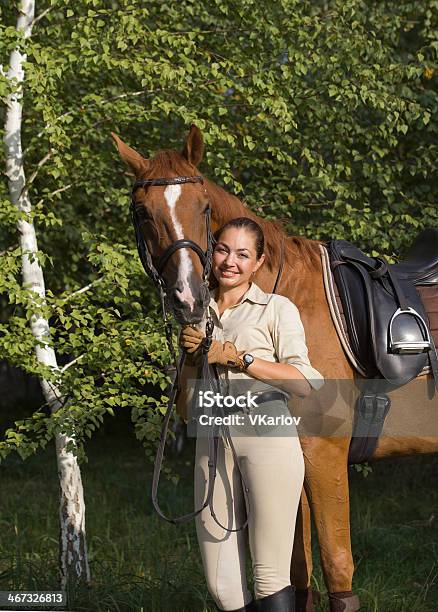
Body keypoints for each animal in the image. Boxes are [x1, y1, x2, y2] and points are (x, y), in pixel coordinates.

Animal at [114, 125, 438, 612]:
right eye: (141, 211)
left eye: (203, 207)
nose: (189, 298)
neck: (291, 298)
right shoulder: (297, 460)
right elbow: (296, 572)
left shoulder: (324, 452)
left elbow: (337, 567)